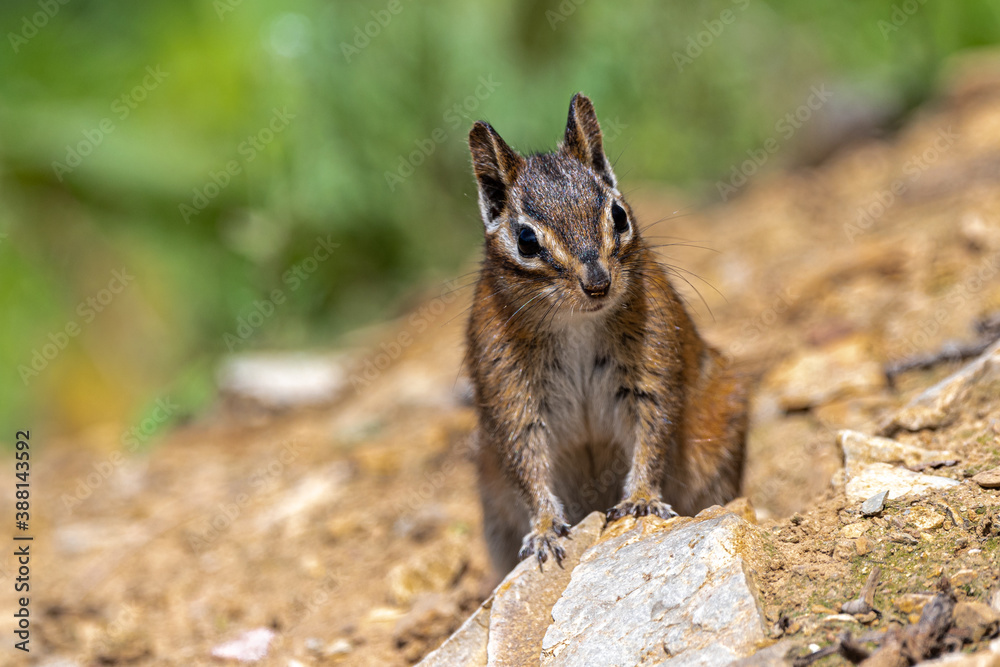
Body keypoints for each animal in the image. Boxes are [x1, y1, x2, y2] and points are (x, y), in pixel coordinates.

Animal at [465, 93, 749, 576]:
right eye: (526, 241)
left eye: (618, 215)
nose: (598, 283)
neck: (575, 322)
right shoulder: (510, 392)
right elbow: (527, 462)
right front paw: (544, 529)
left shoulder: (651, 365)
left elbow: (653, 435)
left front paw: (641, 500)